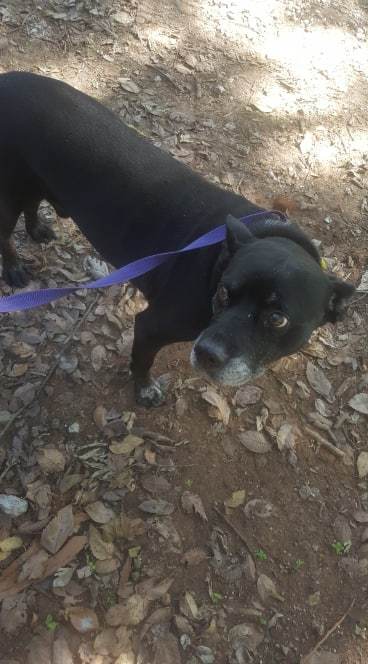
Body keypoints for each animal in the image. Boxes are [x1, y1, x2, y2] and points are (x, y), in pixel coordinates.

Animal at [0, 71, 356, 404]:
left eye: (277, 319)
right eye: (224, 292)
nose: (208, 353)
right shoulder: (150, 326)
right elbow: (142, 361)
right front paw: (144, 390)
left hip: (32, 181)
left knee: (32, 203)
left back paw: (37, 230)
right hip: (8, 195)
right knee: (5, 236)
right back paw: (15, 269)